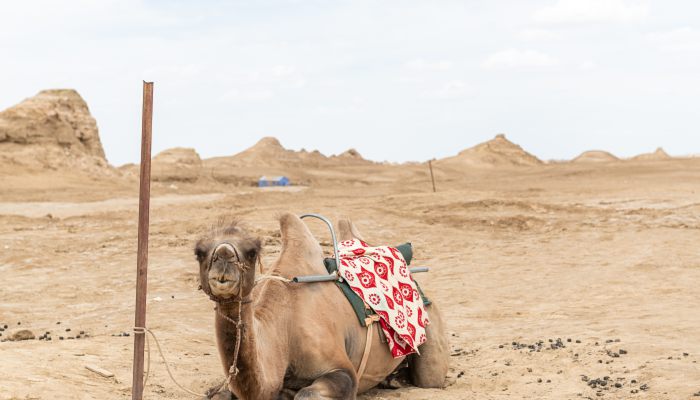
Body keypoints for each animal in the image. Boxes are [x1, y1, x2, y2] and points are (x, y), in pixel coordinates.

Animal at [194, 212, 452, 396]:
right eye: (199, 252)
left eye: (251, 251)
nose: (223, 260)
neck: (283, 329)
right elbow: (217, 393)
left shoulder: (341, 369)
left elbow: (308, 393)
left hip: (431, 323)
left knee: (430, 377)